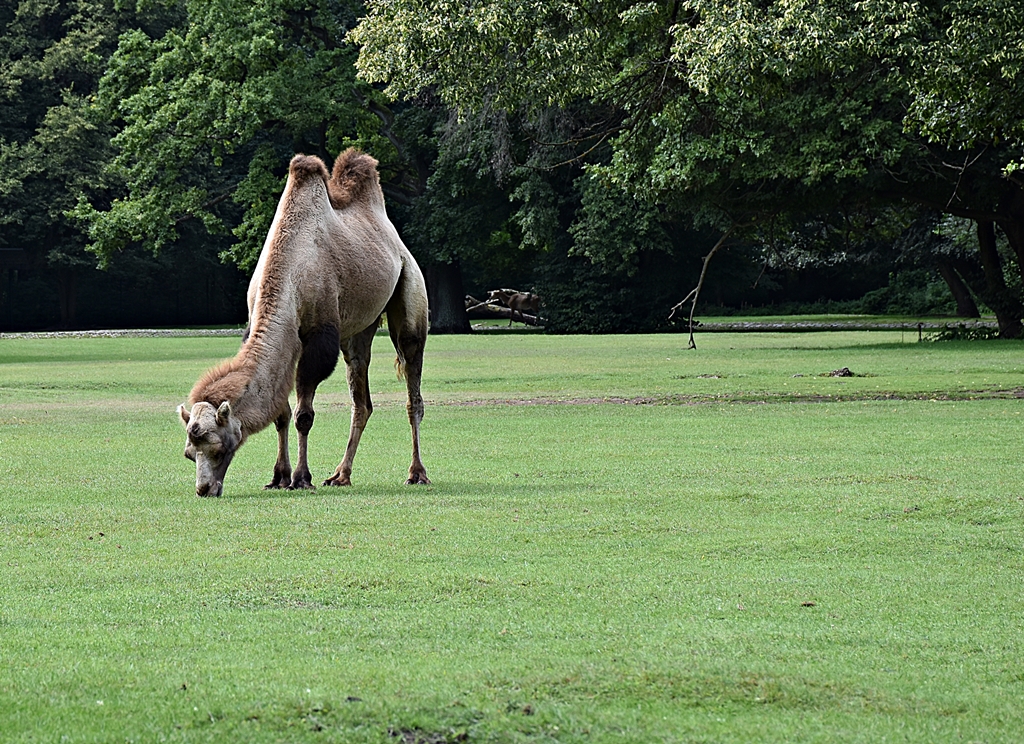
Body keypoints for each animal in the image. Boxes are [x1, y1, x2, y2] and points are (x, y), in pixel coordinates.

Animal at [177, 149, 430, 497]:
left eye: (218, 447)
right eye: (190, 453)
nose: (204, 489)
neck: (289, 274)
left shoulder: (319, 336)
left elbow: (303, 415)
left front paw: (301, 477)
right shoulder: (280, 334)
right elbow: (281, 413)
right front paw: (279, 476)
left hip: (410, 288)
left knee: (411, 383)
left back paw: (417, 472)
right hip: (356, 331)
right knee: (361, 398)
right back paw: (340, 475)